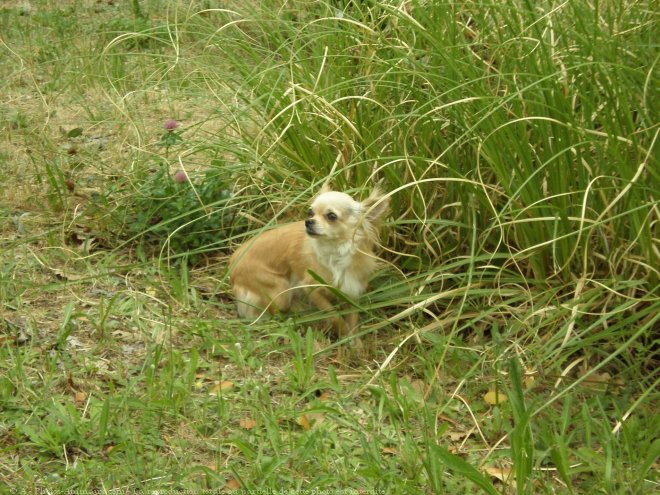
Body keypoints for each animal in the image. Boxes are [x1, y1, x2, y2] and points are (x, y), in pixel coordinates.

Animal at [229, 187, 390, 338]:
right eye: (310, 212)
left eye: (331, 216)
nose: (308, 222)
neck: (335, 253)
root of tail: (232, 264)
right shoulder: (311, 289)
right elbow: (334, 315)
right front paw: (344, 334)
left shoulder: (351, 291)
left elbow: (353, 321)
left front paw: (355, 344)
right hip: (280, 291)